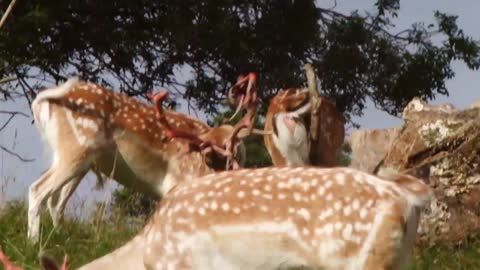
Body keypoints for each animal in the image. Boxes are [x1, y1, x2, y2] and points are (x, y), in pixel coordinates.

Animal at [26, 73, 260, 242]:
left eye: (240, 153)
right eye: (217, 152)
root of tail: (42, 100)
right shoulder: (176, 186)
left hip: (81, 161)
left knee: (56, 202)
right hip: (75, 149)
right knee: (38, 189)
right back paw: (33, 242)